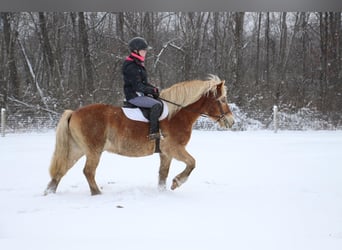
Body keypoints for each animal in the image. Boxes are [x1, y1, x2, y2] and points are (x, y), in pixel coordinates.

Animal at [44, 74, 234, 195]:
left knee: (61, 170)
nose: (231, 122)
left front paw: (163, 192)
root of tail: (74, 112)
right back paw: (96, 193)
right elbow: (192, 163)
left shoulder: (166, 154)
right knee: (88, 171)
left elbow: (163, 174)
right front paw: (177, 182)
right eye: (223, 100)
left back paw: (49, 192)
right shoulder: (175, 149)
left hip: (77, 149)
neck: (177, 115)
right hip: (93, 150)